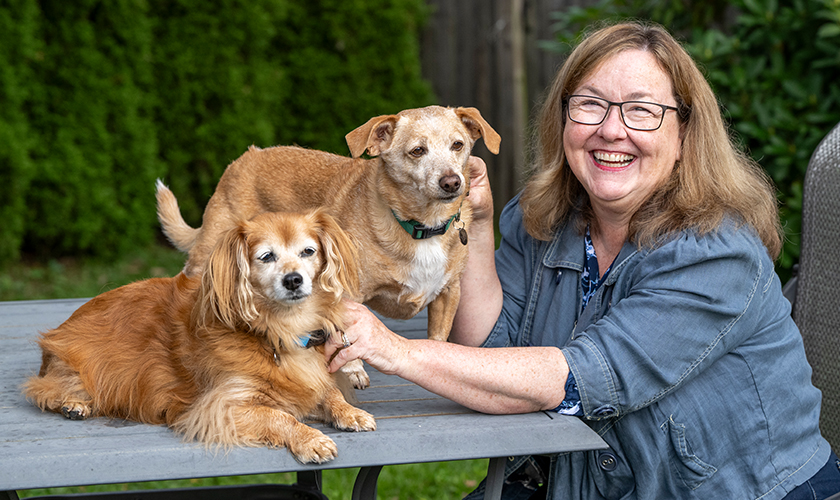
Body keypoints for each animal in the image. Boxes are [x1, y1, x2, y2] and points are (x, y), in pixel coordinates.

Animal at [22, 209, 374, 462]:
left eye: (308, 252)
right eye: (266, 257)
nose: (293, 280)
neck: (278, 331)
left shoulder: (311, 380)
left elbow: (329, 393)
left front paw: (350, 412)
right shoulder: (219, 408)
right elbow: (279, 417)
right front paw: (310, 439)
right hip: (76, 361)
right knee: (48, 387)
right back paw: (74, 403)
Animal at [157, 105, 498, 386]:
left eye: (458, 145)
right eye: (417, 151)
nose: (452, 182)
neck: (422, 228)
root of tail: (244, 158)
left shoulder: (448, 294)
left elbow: (437, 340)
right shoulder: (348, 293)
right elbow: (347, 337)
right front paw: (354, 370)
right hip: (207, 260)